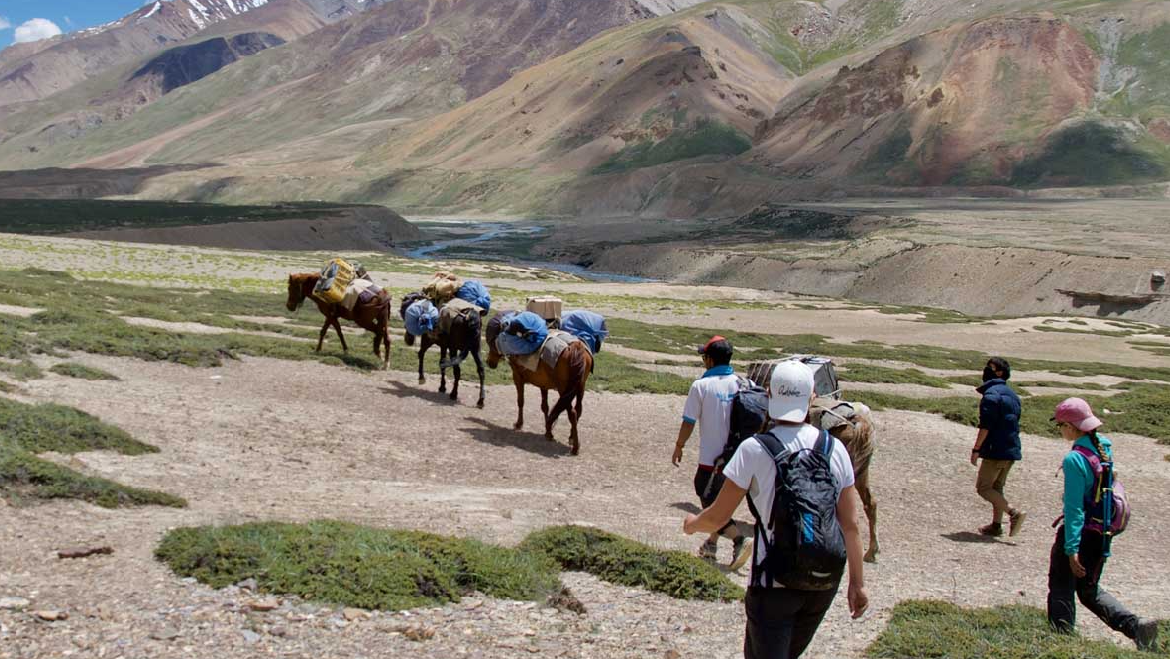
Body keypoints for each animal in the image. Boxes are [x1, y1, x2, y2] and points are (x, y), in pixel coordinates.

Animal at [484, 311, 594, 456]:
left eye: (492, 341)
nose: (489, 362)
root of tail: (576, 347)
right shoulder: (543, 384)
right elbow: (545, 407)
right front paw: (548, 431)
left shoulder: (517, 377)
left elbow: (521, 401)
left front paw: (519, 424)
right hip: (580, 387)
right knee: (578, 410)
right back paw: (571, 438)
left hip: (564, 388)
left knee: (572, 413)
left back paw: (575, 447)